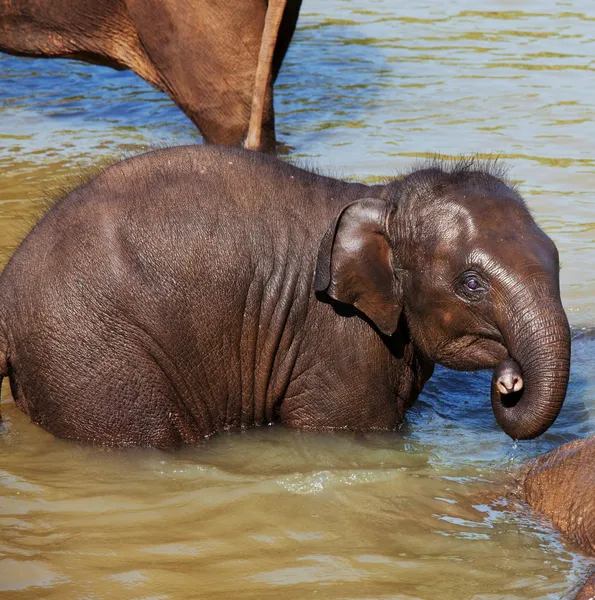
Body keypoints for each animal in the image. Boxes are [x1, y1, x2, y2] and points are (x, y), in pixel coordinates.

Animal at [0, 145, 572, 446]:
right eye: (471, 283)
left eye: (557, 260)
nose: (510, 378)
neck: (382, 197)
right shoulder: (339, 341)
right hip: (94, 361)